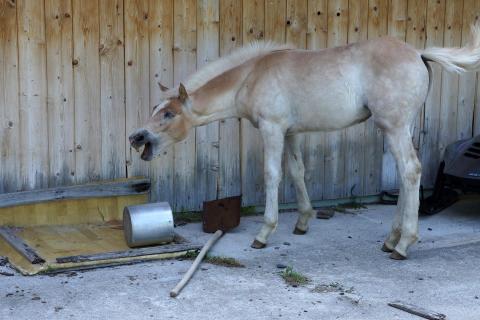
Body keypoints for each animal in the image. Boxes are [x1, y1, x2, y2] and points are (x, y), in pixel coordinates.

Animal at [129, 24, 480, 260]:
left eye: (169, 113)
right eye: (155, 109)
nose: (136, 137)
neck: (251, 77)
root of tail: (419, 53)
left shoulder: (272, 130)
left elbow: (273, 176)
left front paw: (264, 233)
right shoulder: (291, 133)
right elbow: (297, 173)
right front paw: (302, 222)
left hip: (393, 127)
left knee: (410, 171)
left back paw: (404, 244)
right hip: (400, 127)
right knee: (407, 178)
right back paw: (391, 240)